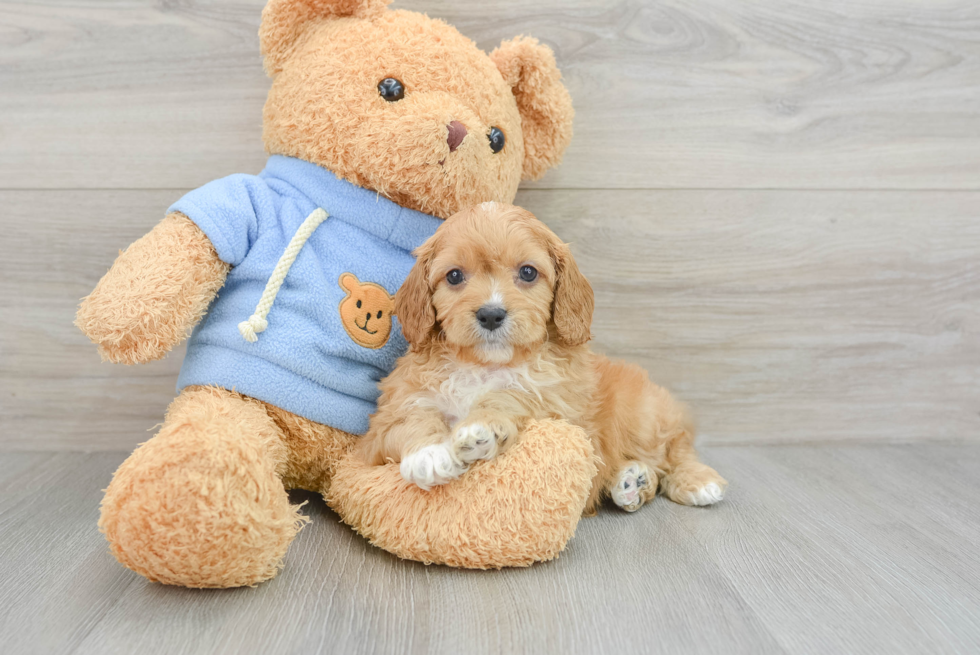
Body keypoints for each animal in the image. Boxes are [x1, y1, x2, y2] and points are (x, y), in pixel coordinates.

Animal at [356, 202, 724, 516]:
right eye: (455, 276)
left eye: (529, 273)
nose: (491, 315)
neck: (485, 365)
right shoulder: (382, 428)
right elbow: (407, 421)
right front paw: (429, 453)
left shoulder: (559, 408)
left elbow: (515, 395)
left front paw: (481, 425)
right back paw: (631, 480)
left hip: (646, 415)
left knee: (677, 447)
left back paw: (696, 480)